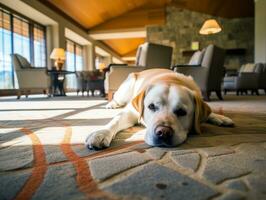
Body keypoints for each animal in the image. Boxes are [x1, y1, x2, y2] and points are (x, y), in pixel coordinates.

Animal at [85, 69, 233, 148]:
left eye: (182, 112)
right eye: (151, 106)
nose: (163, 132)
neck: (171, 79)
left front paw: (218, 116)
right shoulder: (130, 112)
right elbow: (115, 121)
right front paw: (101, 134)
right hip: (126, 89)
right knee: (117, 98)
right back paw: (111, 104)